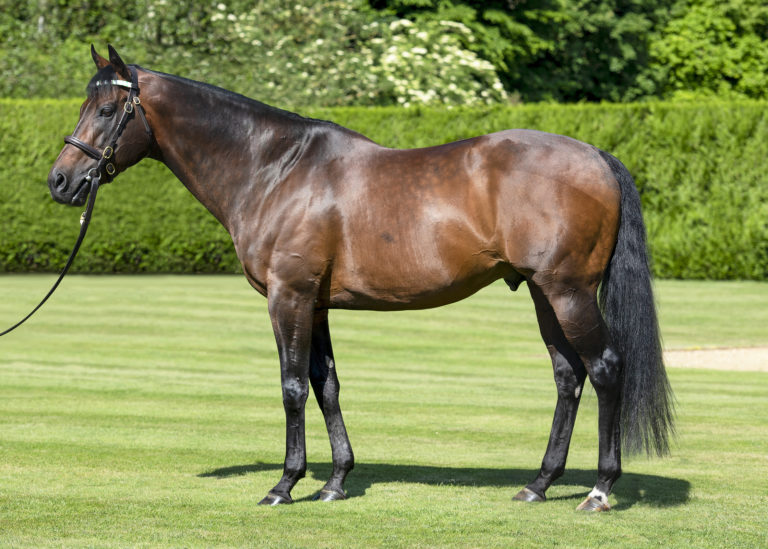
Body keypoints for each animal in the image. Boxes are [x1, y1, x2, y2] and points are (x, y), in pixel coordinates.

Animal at [47, 45, 674, 511]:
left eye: (108, 110)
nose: (60, 180)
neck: (274, 168)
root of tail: (595, 155)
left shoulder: (288, 297)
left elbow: (293, 387)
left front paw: (284, 485)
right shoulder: (316, 303)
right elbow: (326, 386)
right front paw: (334, 482)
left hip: (569, 292)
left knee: (604, 369)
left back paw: (599, 489)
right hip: (544, 294)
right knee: (569, 377)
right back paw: (538, 484)